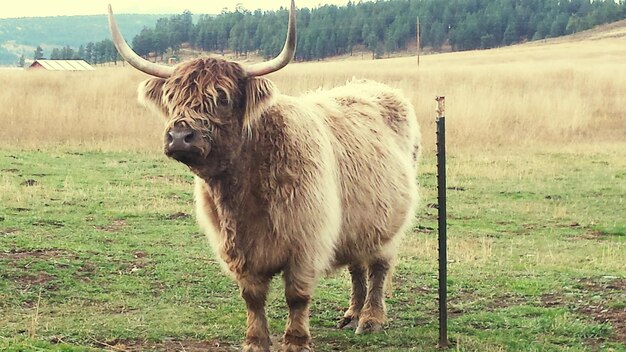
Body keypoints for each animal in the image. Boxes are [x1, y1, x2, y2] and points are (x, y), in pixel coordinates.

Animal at [108, 1, 420, 350]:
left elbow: (297, 296)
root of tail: (372, 86)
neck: (242, 193)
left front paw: (296, 341)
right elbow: (252, 297)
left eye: (222, 97)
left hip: (389, 225)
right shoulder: (238, 250)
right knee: (356, 266)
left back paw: (370, 319)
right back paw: (351, 314)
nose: (179, 136)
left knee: (378, 266)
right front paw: (256, 341)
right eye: (172, 98)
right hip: (357, 221)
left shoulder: (305, 243)